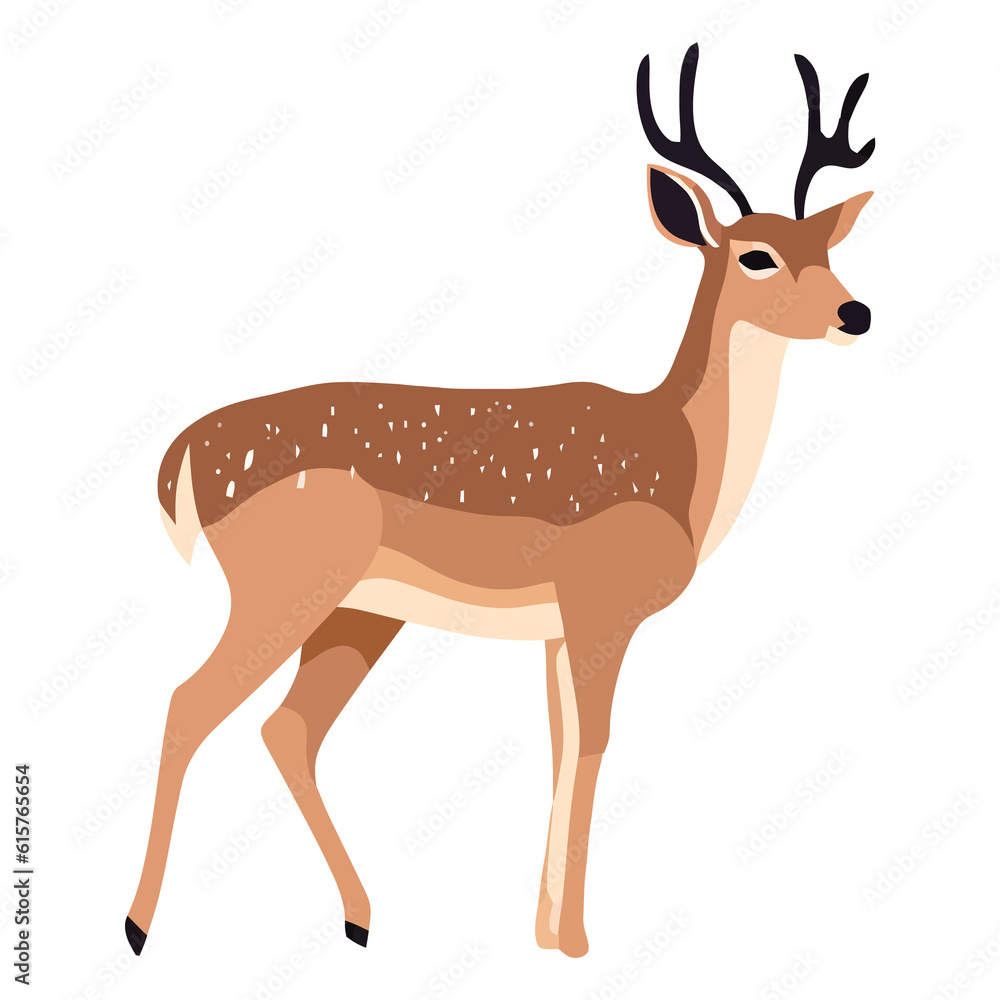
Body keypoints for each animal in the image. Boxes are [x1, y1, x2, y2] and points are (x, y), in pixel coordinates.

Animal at [125, 44, 876, 960]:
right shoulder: (600, 605)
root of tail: (182, 459)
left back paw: (360, 919)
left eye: (826, 247)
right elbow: (593, 743)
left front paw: (546, 936)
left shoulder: (557, 627)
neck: (682, 465)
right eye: (755, 254)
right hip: (284, 587)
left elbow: (560, 744)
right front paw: (579, 942)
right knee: (189, 702)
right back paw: (138, 928)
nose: (855, 312)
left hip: (359, 611)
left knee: (286, 727)